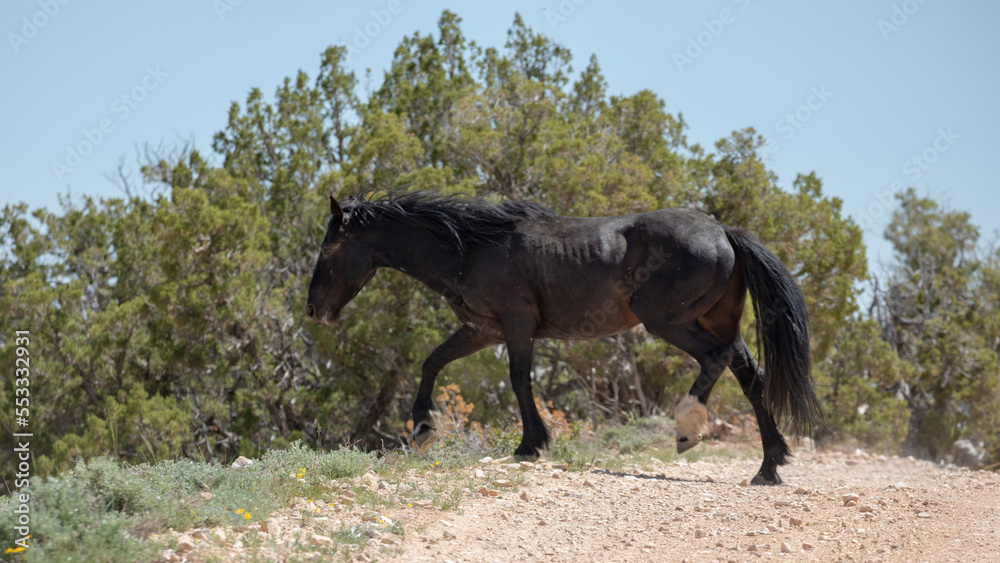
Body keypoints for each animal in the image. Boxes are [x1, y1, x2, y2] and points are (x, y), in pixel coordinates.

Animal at [306, 191, 822, 485]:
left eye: (328, 250)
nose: (314, 311)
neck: (471, 247)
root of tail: (724, 232)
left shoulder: (515, 324)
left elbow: (519, 379)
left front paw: (530, 445)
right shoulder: (481, 329)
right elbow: (432, 362)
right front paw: (423, 428)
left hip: (669, 321)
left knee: (715, 361)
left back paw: (687, 430)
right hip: (717, 321)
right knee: (750, 376)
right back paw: (769, 468)